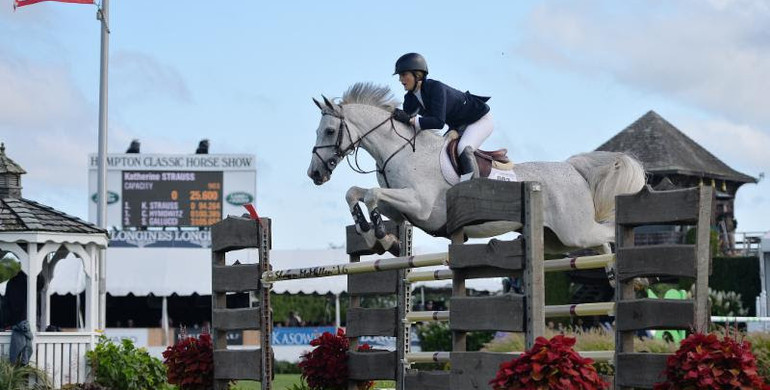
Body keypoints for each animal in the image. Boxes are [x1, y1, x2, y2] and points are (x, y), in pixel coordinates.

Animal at [306, 83, 640, 254]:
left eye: (329, 131)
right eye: (318, 131)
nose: (315, 174)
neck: (399, 151)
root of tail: (574, 171)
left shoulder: (421, 205)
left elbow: (372, 194)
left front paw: (380, 236)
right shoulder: (402, 210)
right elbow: (356, 193)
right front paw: (375, 237)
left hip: (575, 232)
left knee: (608, 233)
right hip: (558, 239)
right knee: (599, 245)